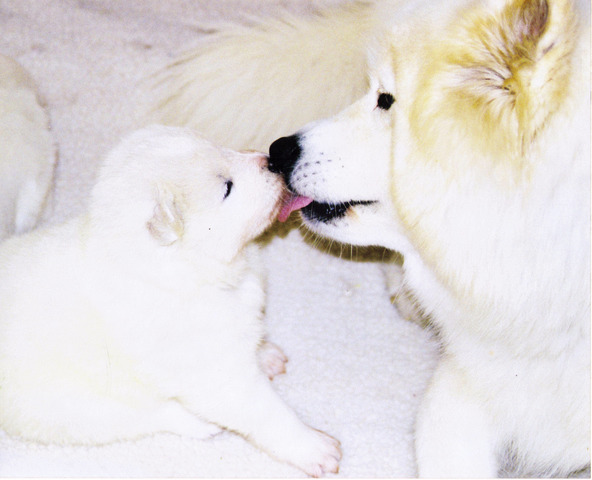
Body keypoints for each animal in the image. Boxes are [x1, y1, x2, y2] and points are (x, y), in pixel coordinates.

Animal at [0, 125, 340, 478]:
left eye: (221, 148)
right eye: (227, 188)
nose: (272, 160)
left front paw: (266, 353)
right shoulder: (212, 371)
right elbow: (266, 412)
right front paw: (316, 447)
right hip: (70, 408)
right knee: (147, 417)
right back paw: (200, 424)